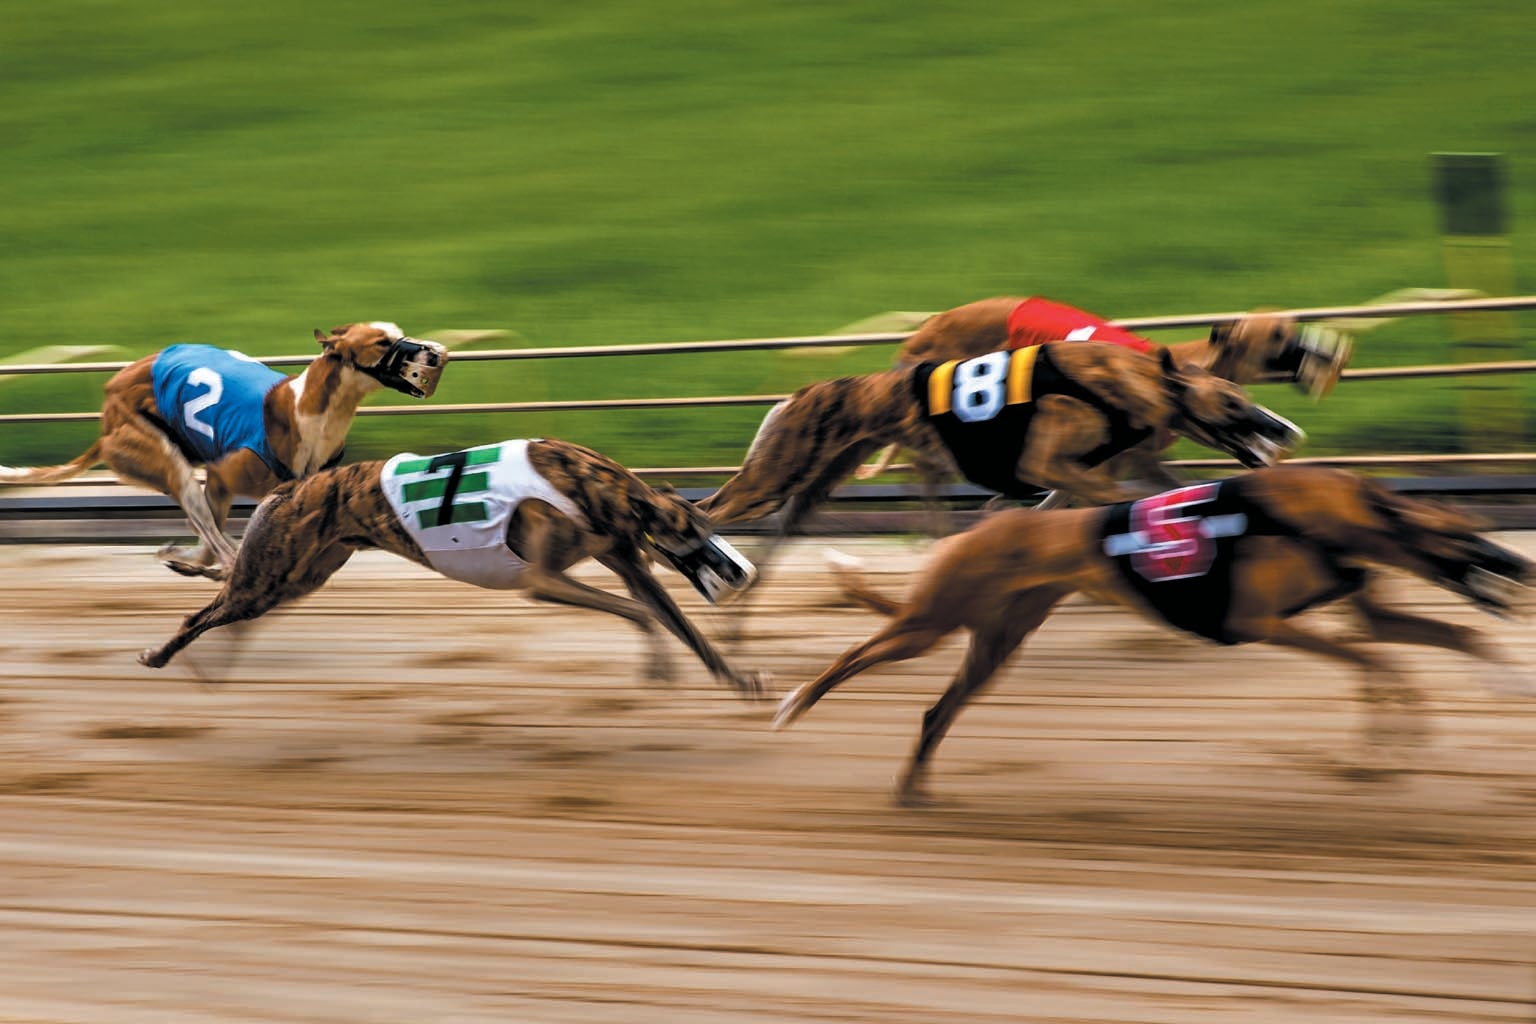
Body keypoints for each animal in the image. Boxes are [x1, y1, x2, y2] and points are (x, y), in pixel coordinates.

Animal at [0, 322, 445, 577]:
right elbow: (223, 542)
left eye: (397, 331)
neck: (307, 411)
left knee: (207, 547)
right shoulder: (221, 476)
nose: (435, 353)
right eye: (382, 342)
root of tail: (107, 413)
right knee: (213, 539)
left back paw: (185, 559)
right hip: (169, 463)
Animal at [139, 436, 768, 700]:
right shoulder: (541, 581)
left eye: (711, 523)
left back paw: (207, 667)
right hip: (270, 577)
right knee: (202, 614)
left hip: (298, 577)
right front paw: (658, 665)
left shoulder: (623, 559)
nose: (741, 575)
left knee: (228, 608)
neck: (592, 483)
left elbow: (679, 624)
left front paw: (739, 679)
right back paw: (162, 656)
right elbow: (641, 611)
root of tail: (288, 489)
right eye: (694, 531)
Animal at [786, 466, 1529, 810]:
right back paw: (794, 703)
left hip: (995, 641)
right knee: (857, 652)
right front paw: (1383, 746)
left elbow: (1447, 636)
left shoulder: (1358, 610)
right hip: (933, 621)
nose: (1522, 569)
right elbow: (1376, 661)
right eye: (1468, 534)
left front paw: (1504, 680)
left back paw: (914, 788)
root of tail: (980, 529)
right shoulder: (1260, 623)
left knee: (935, 711)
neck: (1321, 508)